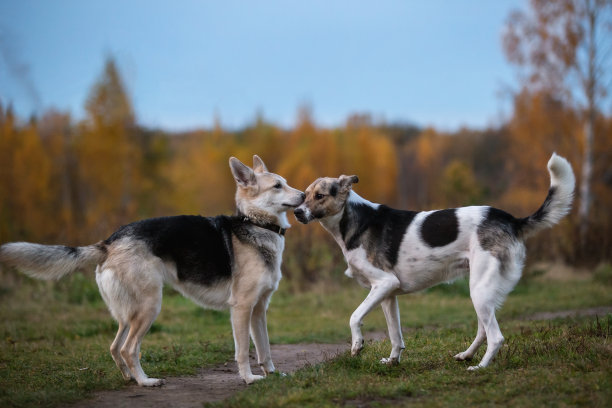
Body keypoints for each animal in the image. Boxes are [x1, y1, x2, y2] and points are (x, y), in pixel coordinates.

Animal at [0, 156, 304, 386]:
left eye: (286, 183)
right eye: (278, 186)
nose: (303, 196)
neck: (257, 224)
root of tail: (109, 242)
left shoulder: (259, 310)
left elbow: (265, 348)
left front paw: (273, 374)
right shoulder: (241, 308)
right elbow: (243, 351)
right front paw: (249, 379)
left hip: (129, 313)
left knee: (115, 347)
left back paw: (130, 379)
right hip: (149, 307)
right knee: (128, 348)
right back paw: (146, 381)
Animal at [296, 153, 572, 370]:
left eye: (320, 196)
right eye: (304, 195)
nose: (297, 212)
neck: (352, 219)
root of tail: (511, 220)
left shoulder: (384, 283)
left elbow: (354, 317)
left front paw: (357, 346)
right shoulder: (388, 294)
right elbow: (395, 335)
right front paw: (393, 361)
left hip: (479, 290)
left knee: (496, 336)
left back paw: (480, 367)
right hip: (480, 291)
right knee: (484, 329)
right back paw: (467, 355)